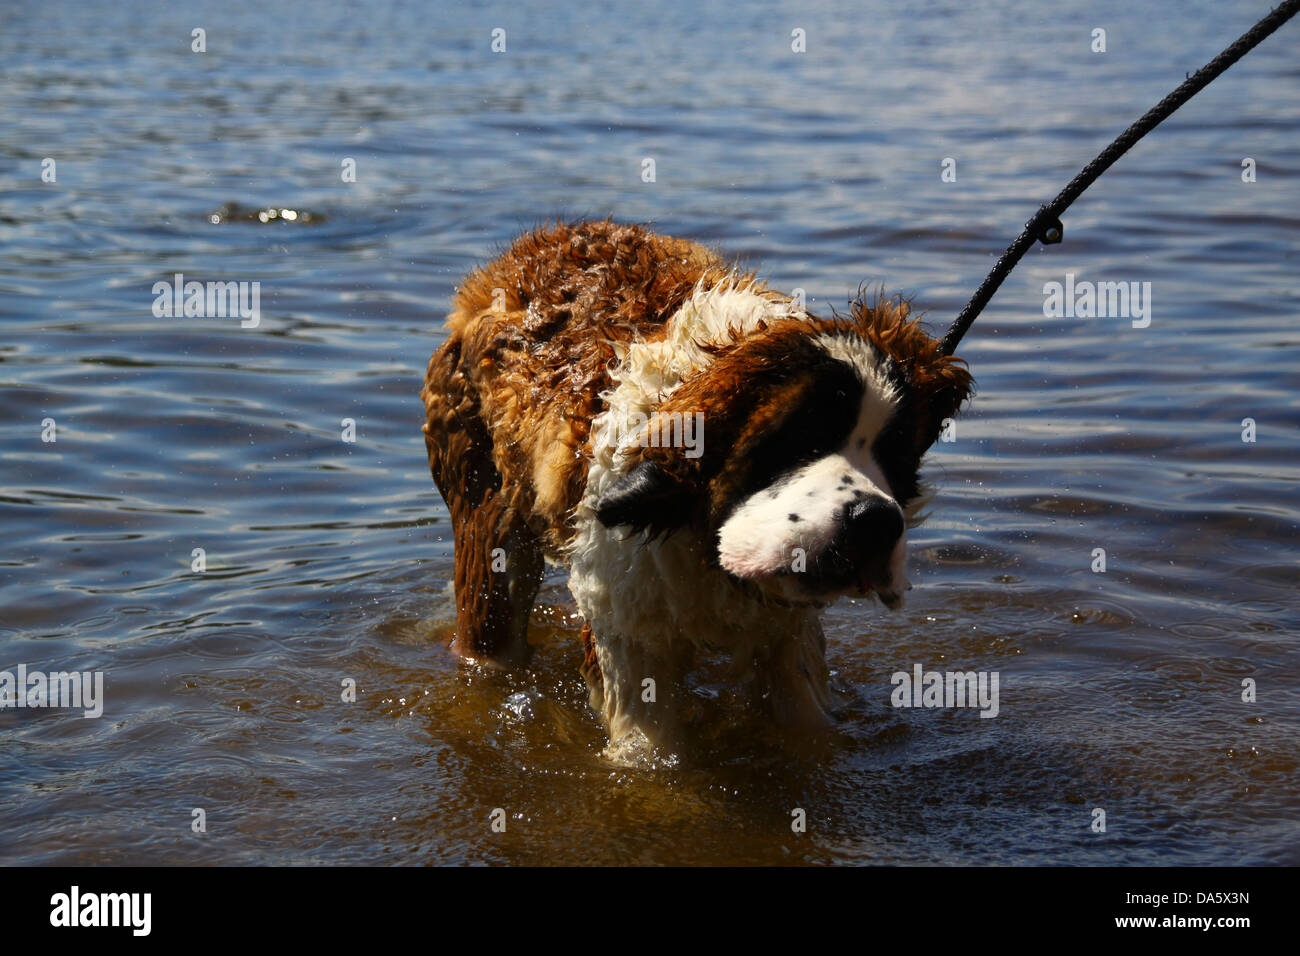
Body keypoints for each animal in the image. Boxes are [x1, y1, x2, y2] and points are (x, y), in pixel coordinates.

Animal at [421, 221, 972, 749]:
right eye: (797, 438)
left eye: (895, 456)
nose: (874, 521)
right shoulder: (629, 643)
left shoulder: (788, 640)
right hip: (489, 538)